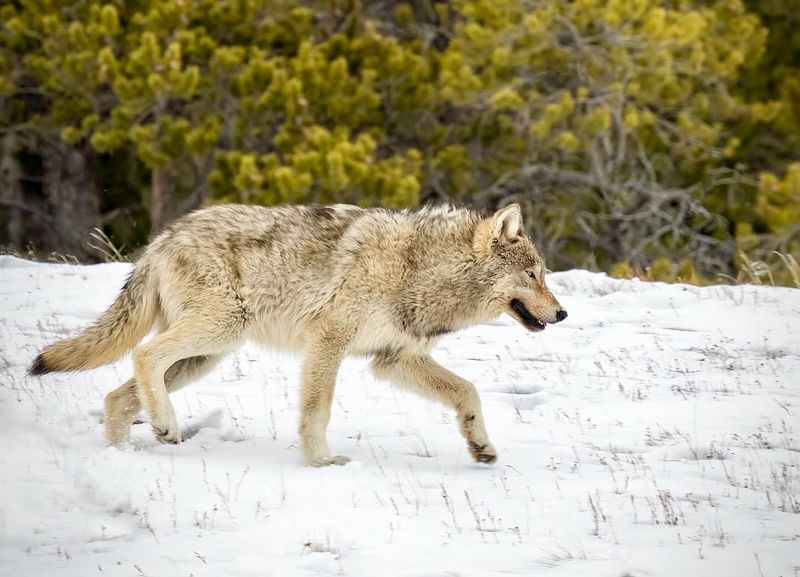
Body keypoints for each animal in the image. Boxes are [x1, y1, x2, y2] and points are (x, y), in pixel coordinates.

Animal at [31, 202, 564, 464]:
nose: (562, 315)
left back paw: (128, 452)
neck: (419, 269)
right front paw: (321, 462)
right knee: (143, 356)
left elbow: (468, 392)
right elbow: (317, 410)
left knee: (118, 396)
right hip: (219, 333)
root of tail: (160, 239)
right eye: (534, 275)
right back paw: (163, 426)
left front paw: (481, 447)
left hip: (206, 356)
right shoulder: (328, 342)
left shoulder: (394, 360)